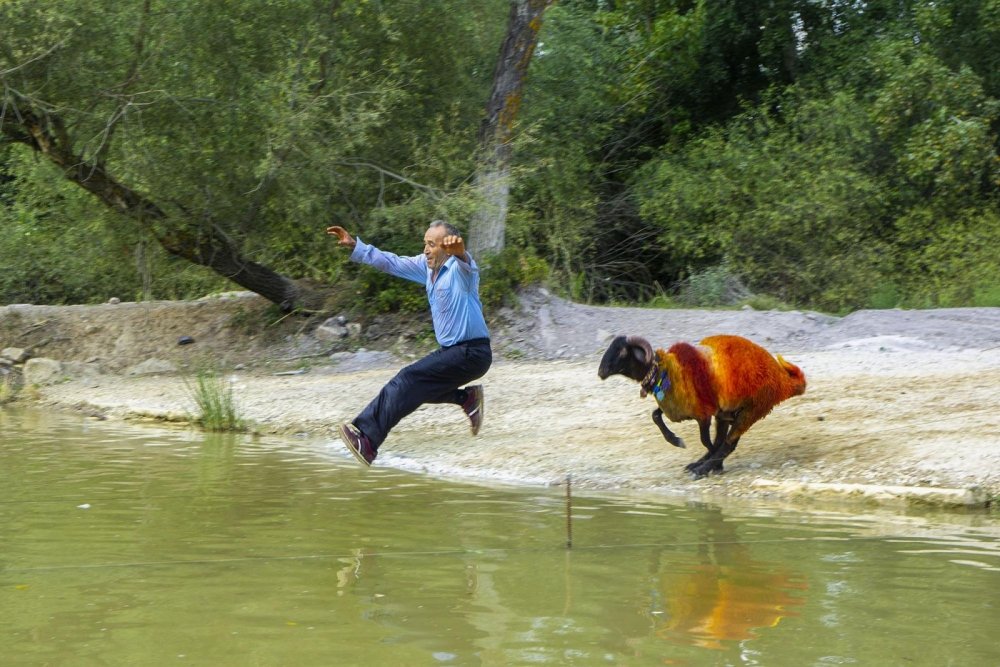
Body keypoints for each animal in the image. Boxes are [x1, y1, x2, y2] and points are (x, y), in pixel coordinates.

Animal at [598, 334, 806, 478]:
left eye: (622, 351)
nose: (600, 372)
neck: (667, 372)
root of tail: (782, 379)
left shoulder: (703, 414)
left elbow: (706, 441)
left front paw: (714, 464)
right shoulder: (675, 407)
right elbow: (655, 416)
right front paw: (677, 441)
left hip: (752, 410)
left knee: (728, 444)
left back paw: (703, 468)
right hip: (727, 414)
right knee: (724, 440)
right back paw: (699, 465)